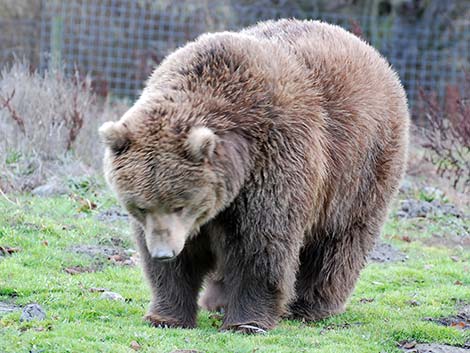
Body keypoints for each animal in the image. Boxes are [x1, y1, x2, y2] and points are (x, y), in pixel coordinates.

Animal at [99, 18, 408, 332]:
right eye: (140, 206)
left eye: (180, 205)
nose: (164, 252)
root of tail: (372, 53)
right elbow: (179, 261)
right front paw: (165, 316)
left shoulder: (274, 158)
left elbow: (260, 246)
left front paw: (246, 321)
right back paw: (218, 299)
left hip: (359, 169)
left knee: (339, 241)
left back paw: (312, 306)